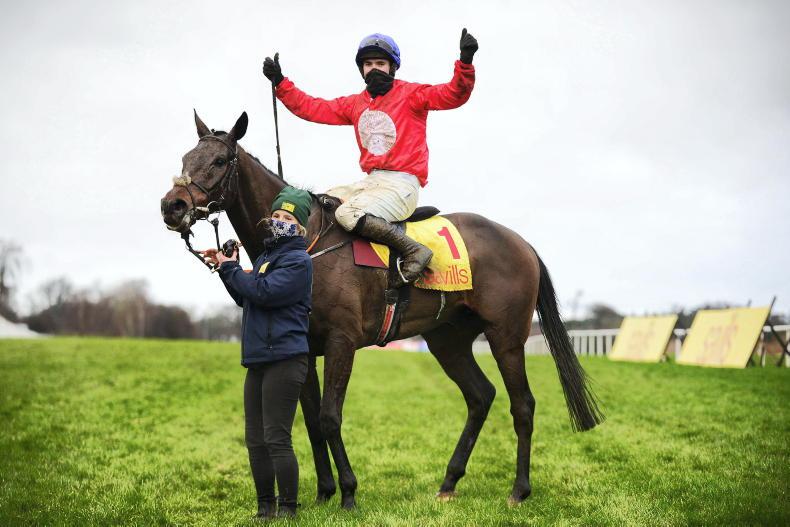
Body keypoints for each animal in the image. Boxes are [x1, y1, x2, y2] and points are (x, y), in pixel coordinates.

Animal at [160, 111, 603, 509]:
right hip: (448, 339)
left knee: (522, 404)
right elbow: (311, 422)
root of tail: (520, 242)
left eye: (219, 161)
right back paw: (449, 482)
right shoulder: (303, 348)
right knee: (480, 396)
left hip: (505, 335)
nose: (172, 205)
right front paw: (324, 492)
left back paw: (519, 490)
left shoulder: (341, 341)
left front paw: (348, 492)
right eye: (185, 158)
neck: (306, 242)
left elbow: (329, 417)